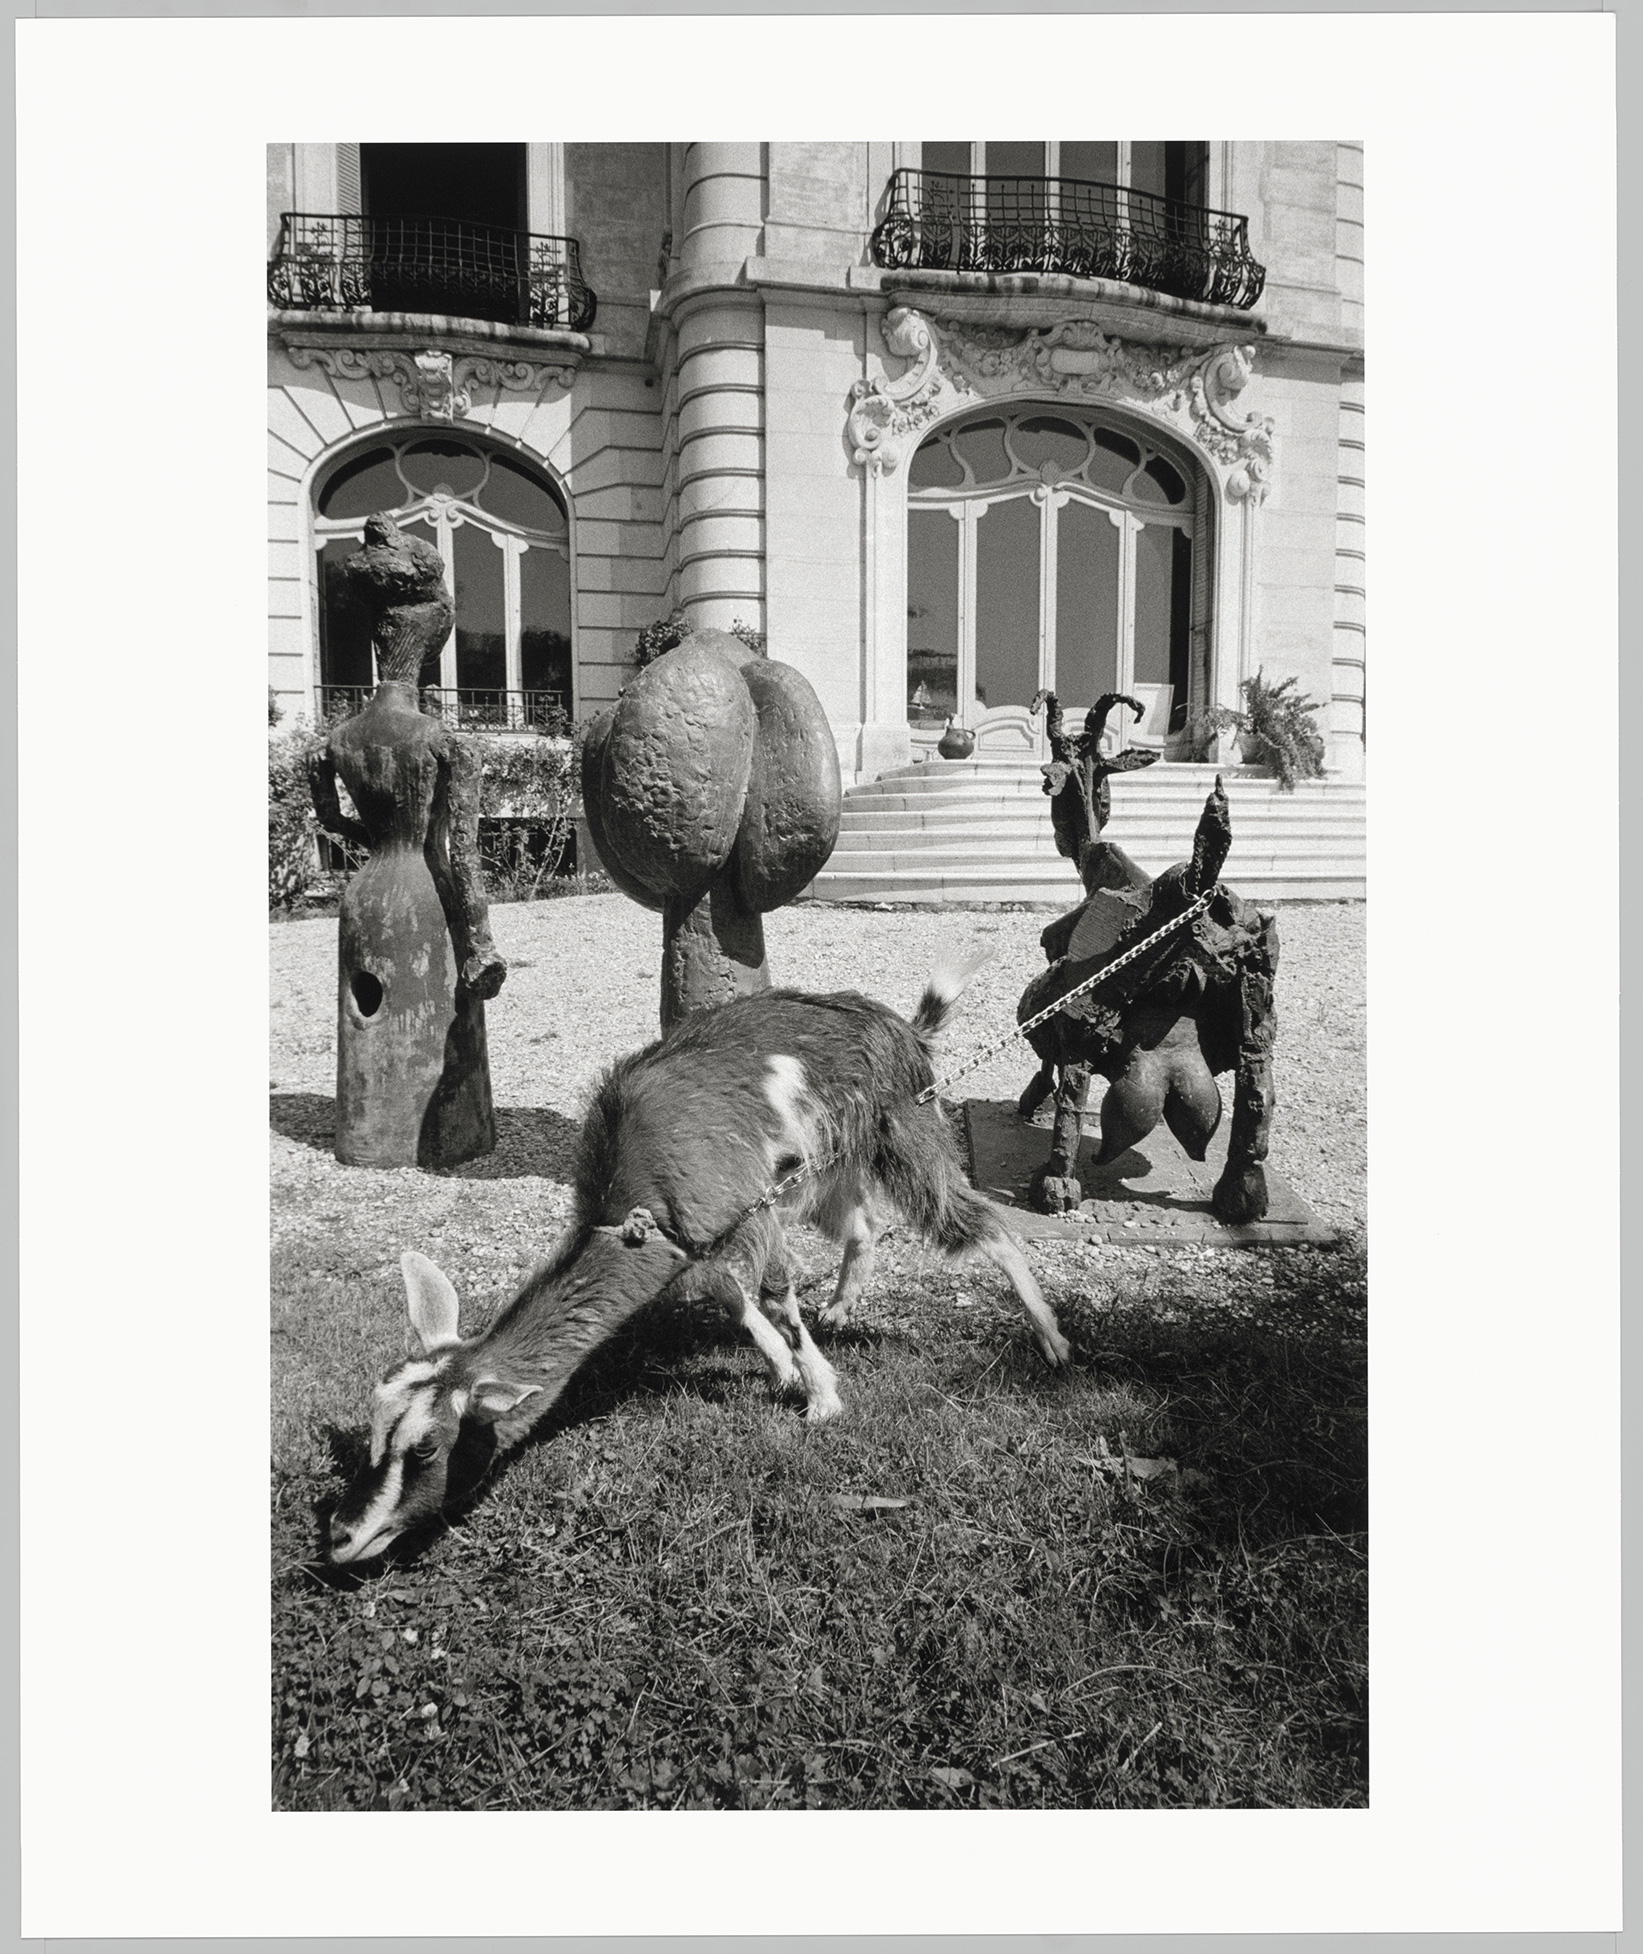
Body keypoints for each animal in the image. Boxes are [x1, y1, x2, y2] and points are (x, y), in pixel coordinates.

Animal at [326, 969, 1070, 1563]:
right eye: (372, 1429)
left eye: (427, 1447)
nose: (341, 1535)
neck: (635, 1190)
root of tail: (903, 1027)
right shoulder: (695, 1238)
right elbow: (730, 1297)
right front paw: (784, 1370)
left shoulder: (745, 1207)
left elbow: (772, 1295)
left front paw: (821, 1400)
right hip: (827, 1161)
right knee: (863, 1222)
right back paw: (841, 1306)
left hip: (903, 1126)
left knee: (980, 1223)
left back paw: (1053, 1341)